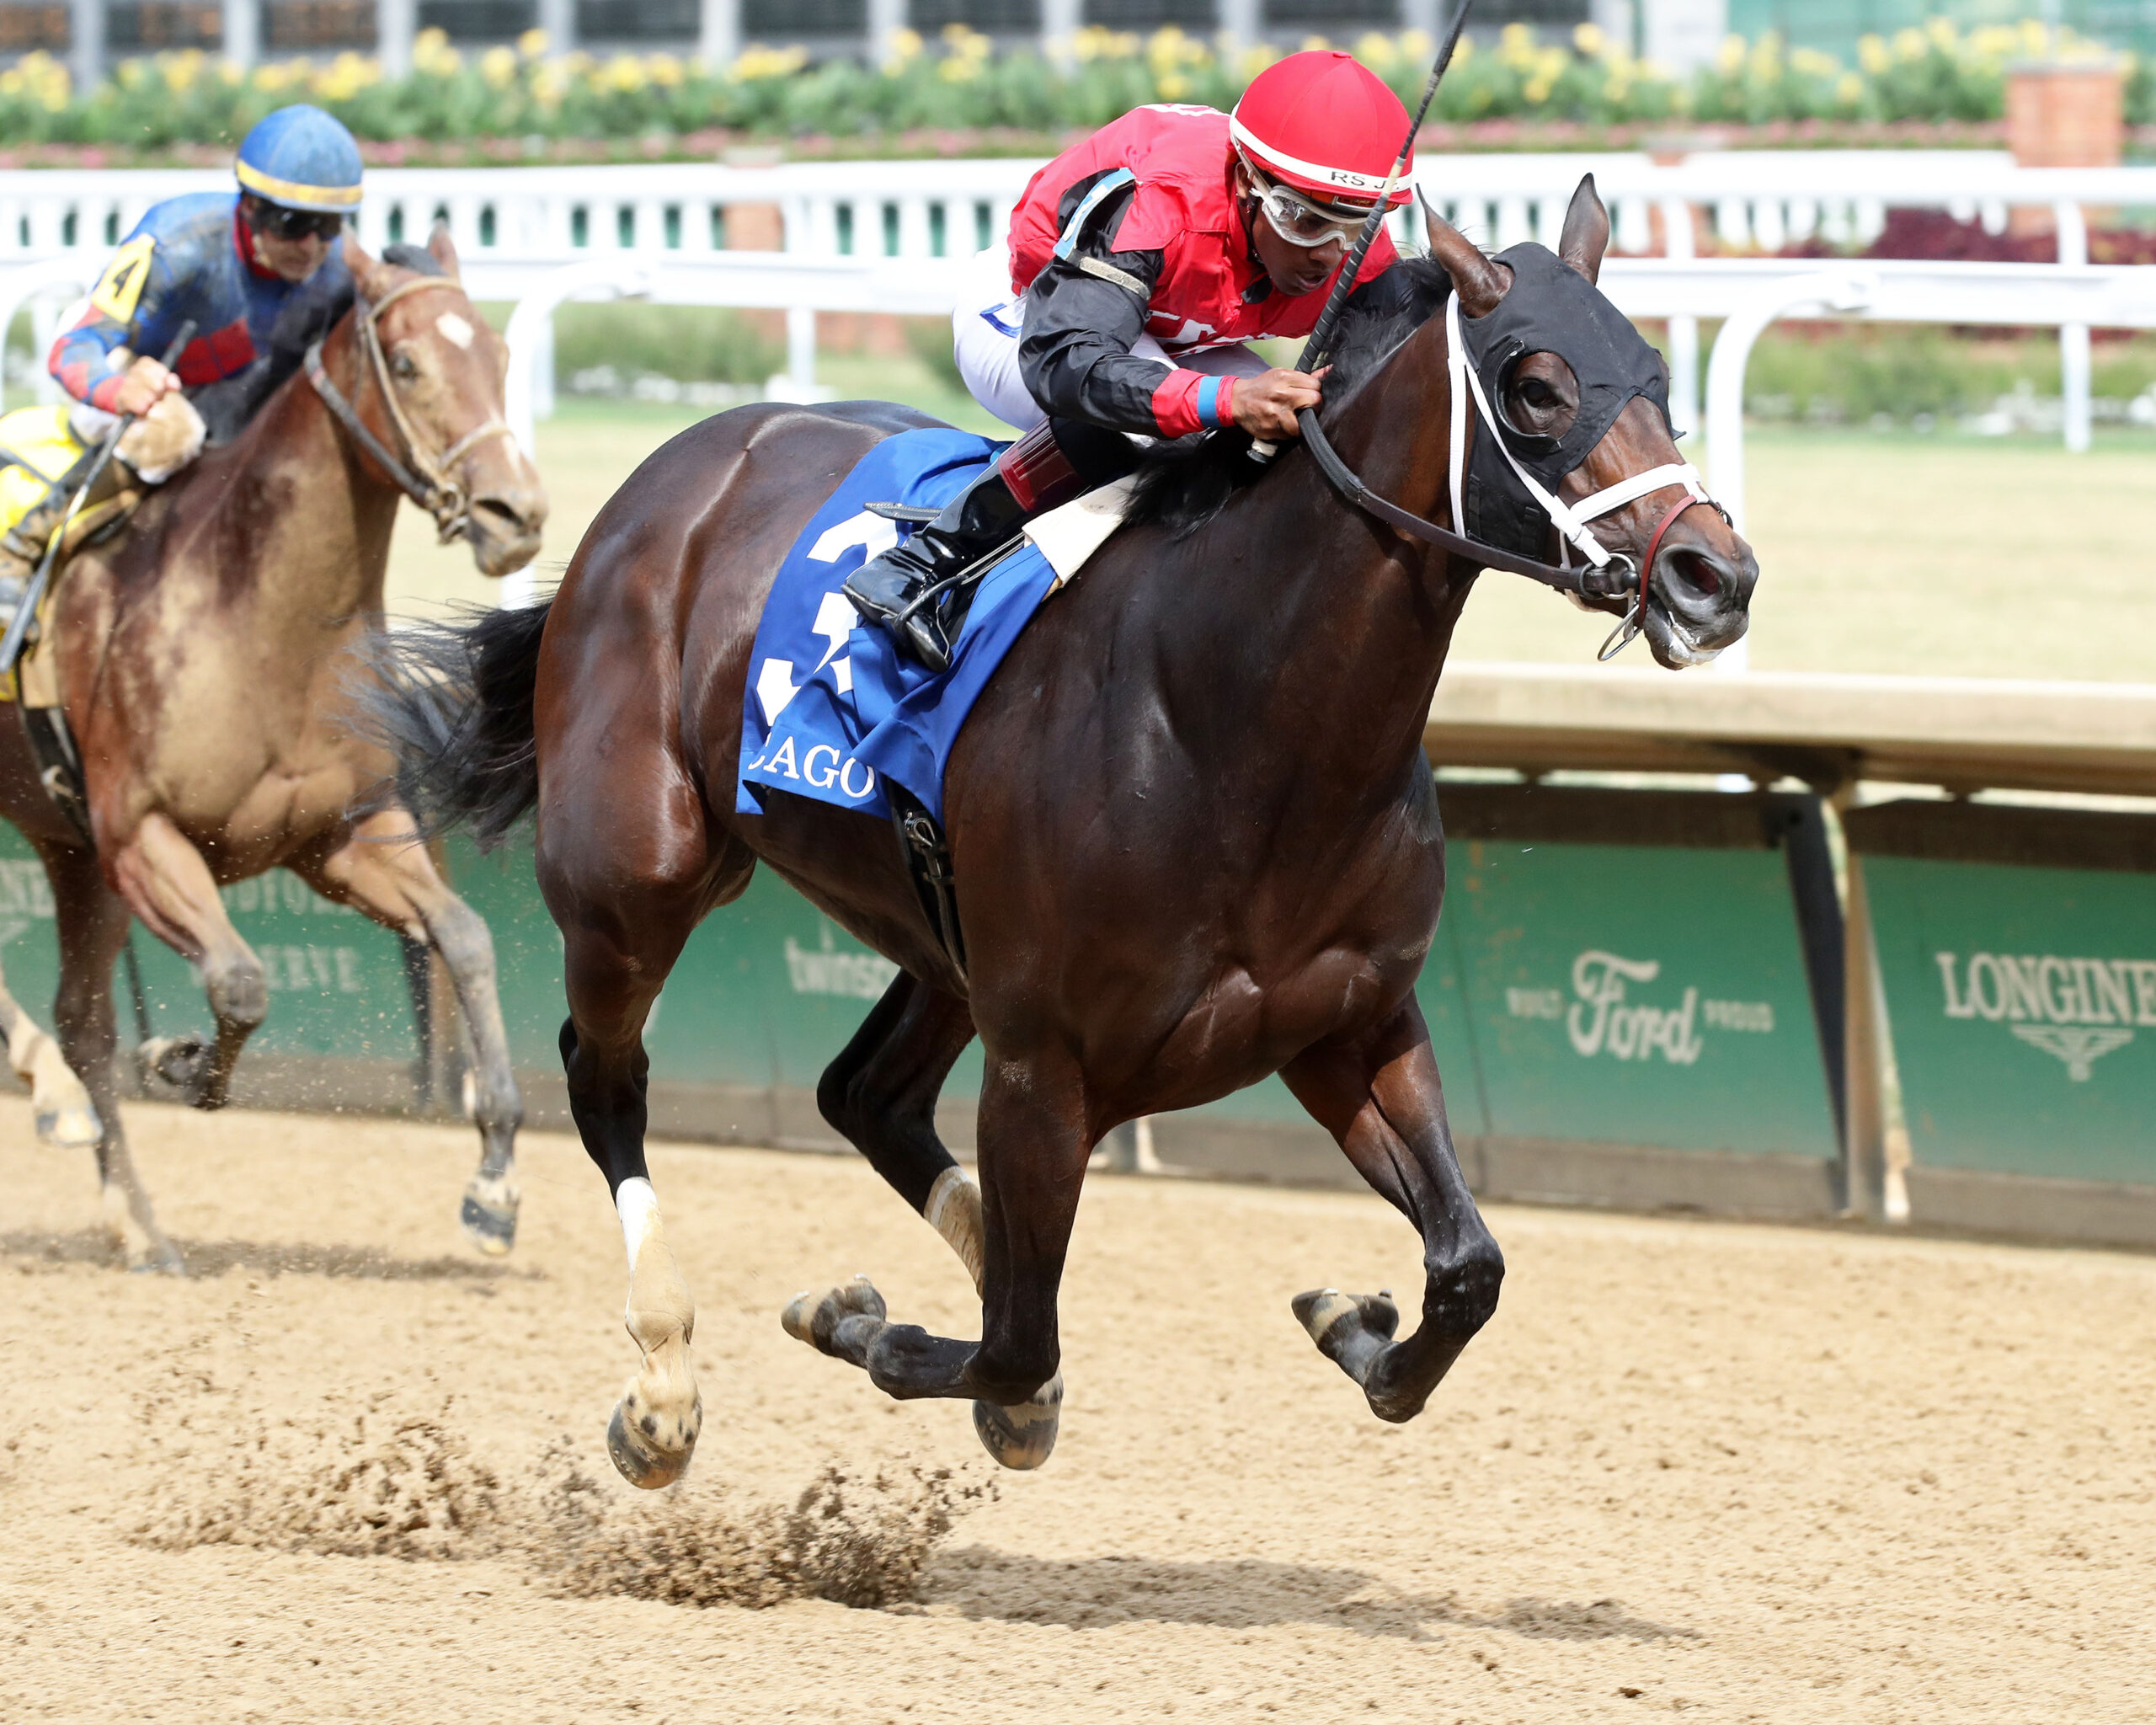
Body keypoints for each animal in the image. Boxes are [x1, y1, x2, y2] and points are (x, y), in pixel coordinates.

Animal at [11, 225, 547, 1268]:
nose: (517, 513)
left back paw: (136, 1220)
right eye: (408, 362)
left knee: (82, 1017)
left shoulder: (337, 834)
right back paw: (57, 1101)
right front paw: (180, 1061)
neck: (259, 624)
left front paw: (497, 1180)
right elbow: (242, 981)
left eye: (501, 358)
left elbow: (464, 937)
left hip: (65, 847)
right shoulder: (143, 837)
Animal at [371, 185, 1750, 1483]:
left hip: (940, 940)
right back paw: (661, 1384)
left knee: (863, 1093)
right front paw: (857, 1321)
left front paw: (1345, 1318)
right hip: (636, 874)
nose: (1713, 578)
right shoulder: (1045, 1068)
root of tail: (681, 467)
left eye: (1657, 375)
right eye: (1536, 384)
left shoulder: (1346, 1025)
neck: (1233, 714)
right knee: (608, 1074)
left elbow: (1466, 1269)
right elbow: (1011, 1342)